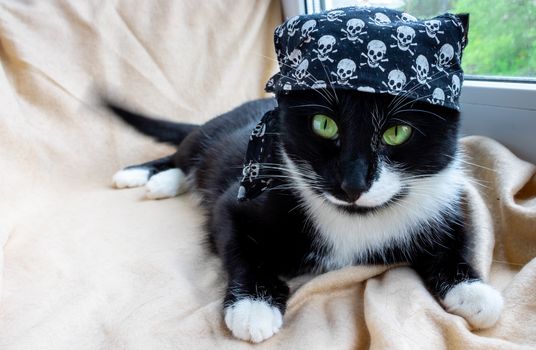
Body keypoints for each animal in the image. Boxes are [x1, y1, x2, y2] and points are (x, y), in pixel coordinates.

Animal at [108, 89, 502, 344]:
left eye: (397, 132)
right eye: (324, 126)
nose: (352, 183)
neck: (355, 218)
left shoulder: (441, 202)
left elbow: (456, 240)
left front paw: (474, 291)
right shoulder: (242, 198)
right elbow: (239, 245)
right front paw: (254, 305)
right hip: (211, 137)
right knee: (183, 151)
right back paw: (145, 175)